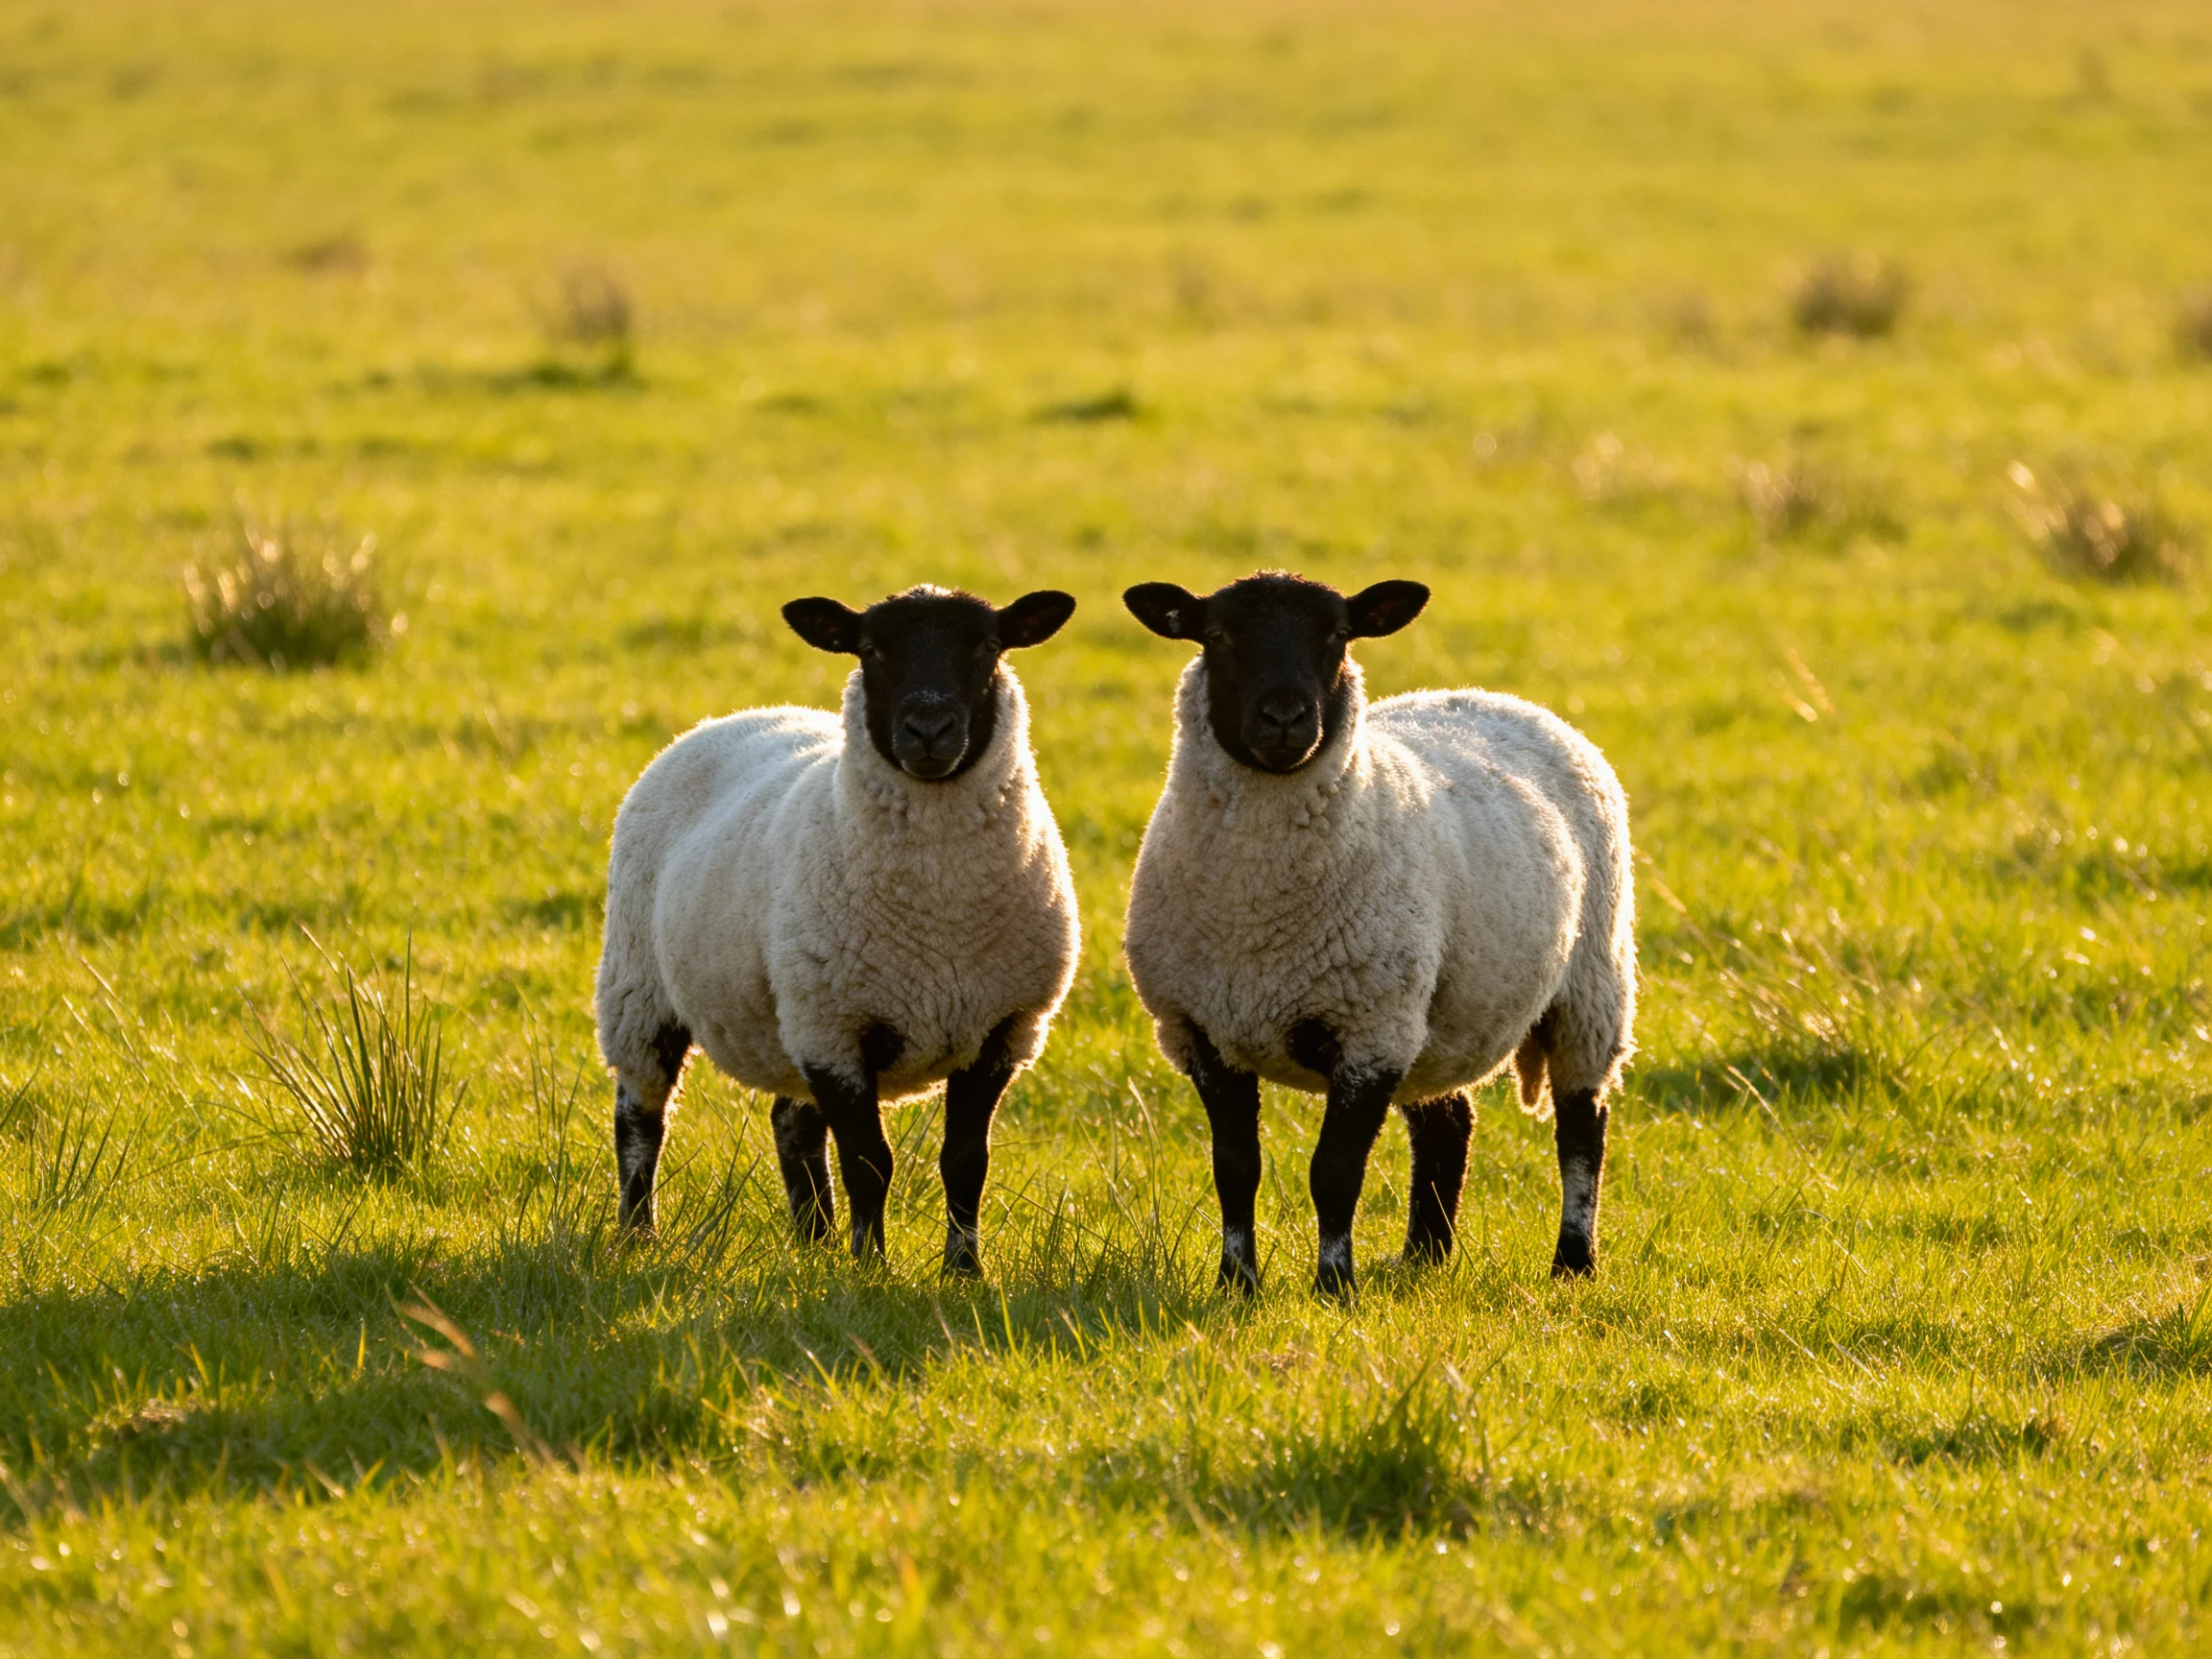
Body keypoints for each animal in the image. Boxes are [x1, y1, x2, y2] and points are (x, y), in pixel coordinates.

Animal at [595, 584, 1082, 1275]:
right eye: (871, 649)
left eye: (989, 646)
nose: (928, 730)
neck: (942, 909)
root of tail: (737, 716)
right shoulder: (837, 1030)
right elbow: (869, 1162)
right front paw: (870, 1268)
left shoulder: (1004, 1030)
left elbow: (966, 1163)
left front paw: (963, 1272)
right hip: (641, 988)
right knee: (640, 1117)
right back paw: (639, 1234)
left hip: (787, 1015)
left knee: (791, 1122)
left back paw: (815, 1241)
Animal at [1121, 570, 1636, 1298]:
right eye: (1216, 635)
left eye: (1338, 635)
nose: (1286, 719)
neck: (1256, 915)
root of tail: (1498, 697)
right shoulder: (1201, 1032)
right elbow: (1235, 1168)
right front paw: (1236, 1282)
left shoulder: (1370, 1032)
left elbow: (1334, 1172)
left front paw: (1335, 1286)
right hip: (1437, 1019)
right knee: (1449, 1122)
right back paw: (1424, 1255)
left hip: (1590, 983)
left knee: (1583, 1127)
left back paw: (1572, 1261)